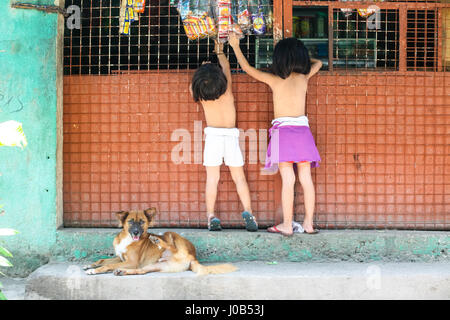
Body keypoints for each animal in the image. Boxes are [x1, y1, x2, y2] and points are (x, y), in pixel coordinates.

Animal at [85, 209, 239, 276]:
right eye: (130, 222)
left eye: (142, 222)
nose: (136, 232)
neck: (127, 238)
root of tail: (193, 257)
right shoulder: (121, 258)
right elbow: (103, 260)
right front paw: (90, 265)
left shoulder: (132, 261)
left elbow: (107, 265)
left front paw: (94, 270)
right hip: (155, 266)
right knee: (141, 271)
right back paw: (122, 271)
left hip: (171, 235)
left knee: (170, 245)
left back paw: (156, 240)